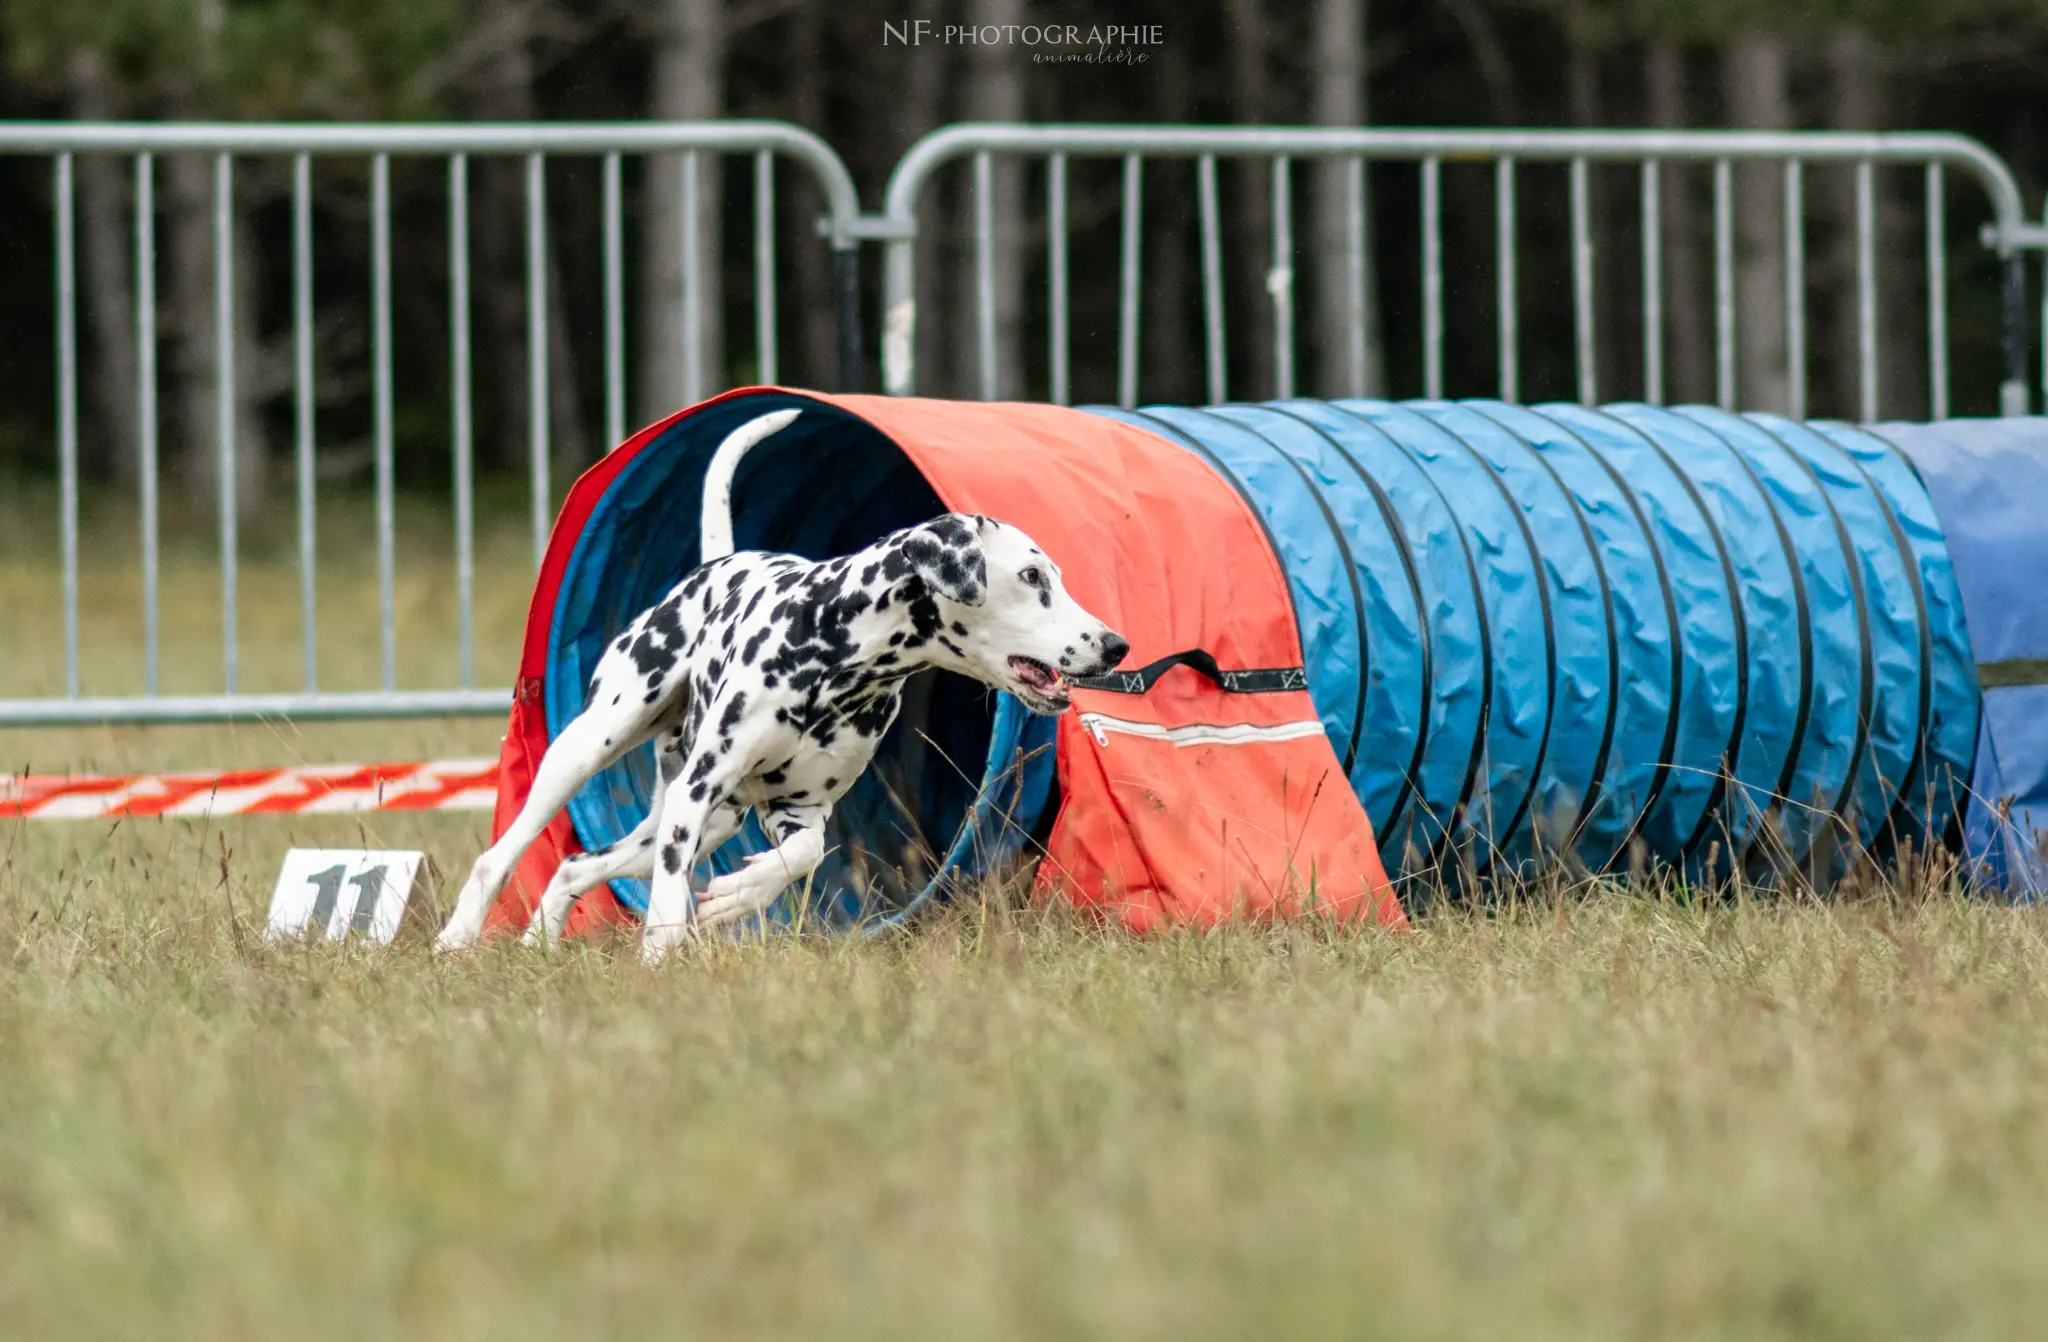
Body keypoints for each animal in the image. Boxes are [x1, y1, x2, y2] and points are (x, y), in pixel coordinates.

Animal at [438, 426, 1130, 958]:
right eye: (1032, 576)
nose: (1115, 645)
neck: (838, 656)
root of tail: (721, 561)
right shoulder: (696, 791)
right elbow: (666, 906)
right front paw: (660, 962)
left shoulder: (793, 809)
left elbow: (804, 852)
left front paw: (739, 896)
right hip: (592, 754)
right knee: (501, 856)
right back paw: (456, 941)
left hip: (702, 821)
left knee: (575, 866)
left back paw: (538, 944)